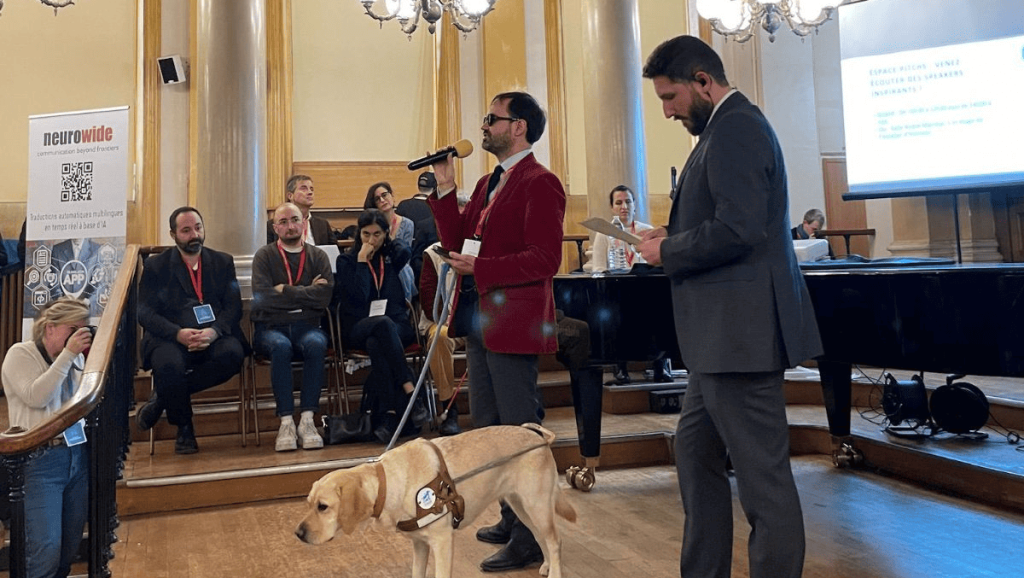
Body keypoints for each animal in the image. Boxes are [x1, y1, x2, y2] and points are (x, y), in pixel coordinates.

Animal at [296, 422, 577, 573]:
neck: (392, 481)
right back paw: (548, 566)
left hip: (536, 505)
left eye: (323, 507)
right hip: (523, 508)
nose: (298, 534)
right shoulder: (420, 545)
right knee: (540, 537)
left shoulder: (442, 542)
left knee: (555, 541)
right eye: (309, 504)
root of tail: (540, 437)